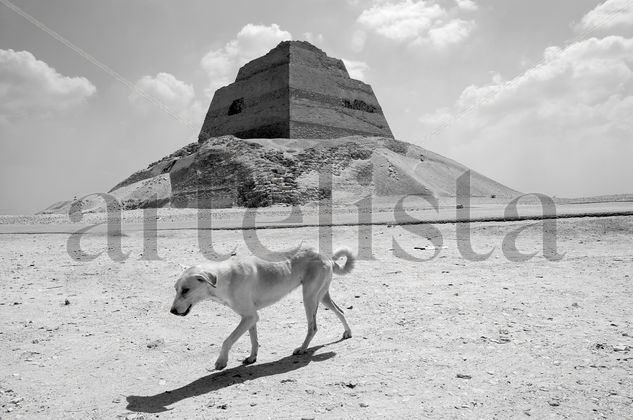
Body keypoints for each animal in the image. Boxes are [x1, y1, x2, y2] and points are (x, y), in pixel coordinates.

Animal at [170, 246, 354, 370]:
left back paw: (302, 349)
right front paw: (252, 357)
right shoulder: (250, 317)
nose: (172, 311)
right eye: (176, 289)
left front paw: (221, 361)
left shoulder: (249, 317)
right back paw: (347, 332)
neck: (225, 277)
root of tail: (326, 256)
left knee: (313, 327)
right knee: (340, 311)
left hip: (309, 297)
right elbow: (254, 340)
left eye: (185, 290)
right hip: (321, 297)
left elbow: (227, 340)